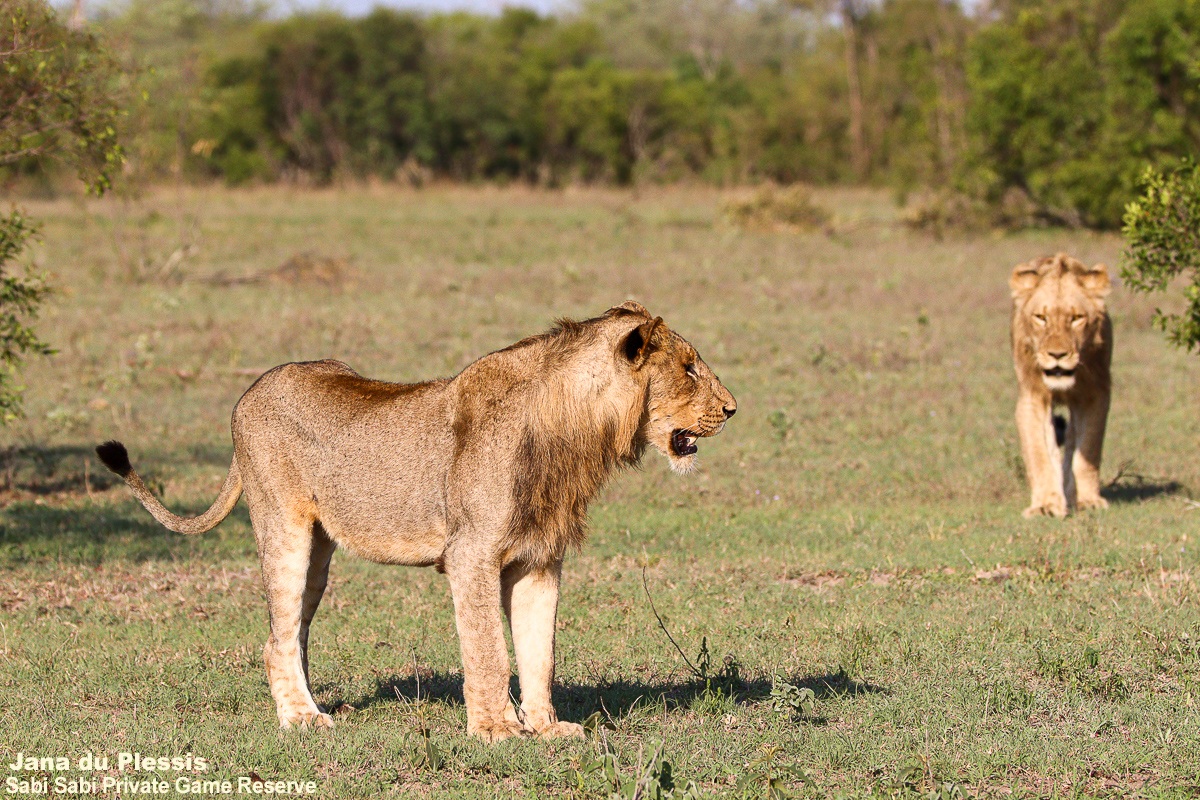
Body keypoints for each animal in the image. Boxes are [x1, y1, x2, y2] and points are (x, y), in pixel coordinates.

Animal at [96, 301, 736, 741]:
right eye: (688, 369)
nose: (732, 409)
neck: (576, 431)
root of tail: (249, 391)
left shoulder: (539, 560)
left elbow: (539, 651)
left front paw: (547, 728)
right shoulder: (472, 553)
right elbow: (488, 647)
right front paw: (498, 731)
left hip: (321, 553)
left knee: (292, 631)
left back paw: (309, 703)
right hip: (285, 530)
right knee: (275, 637)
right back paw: (301, 719)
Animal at [1009, 253, 1112, 518]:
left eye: (1076, 318)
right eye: (1041, 318)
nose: (1057, 355)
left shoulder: (1094, 395)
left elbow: (1087, 450)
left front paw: (1088, 500)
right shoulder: (1033, 396)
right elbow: (1039, 453)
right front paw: (1046, 505)